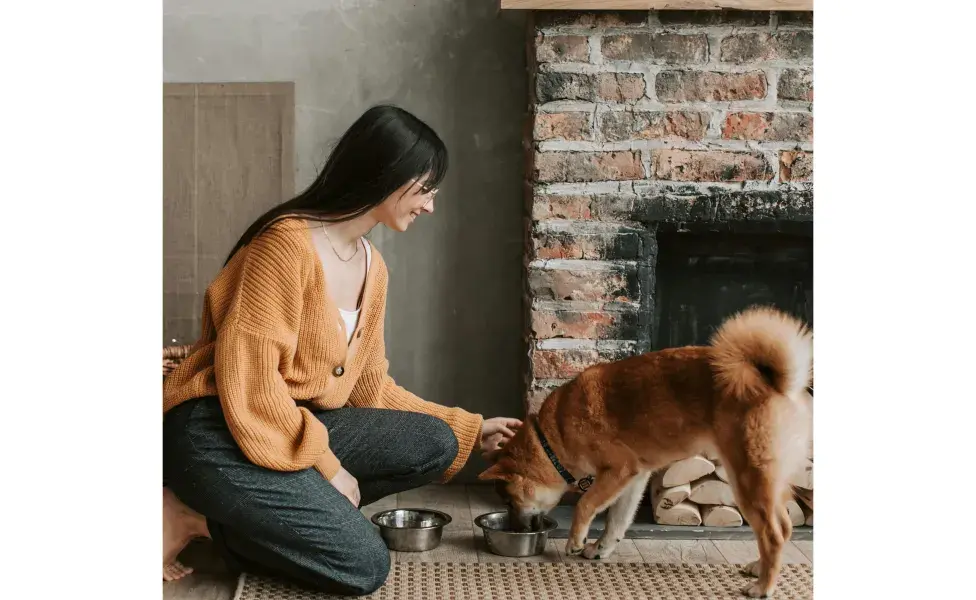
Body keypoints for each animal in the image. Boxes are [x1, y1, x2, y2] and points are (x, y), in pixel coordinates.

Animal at [478, 308, 808, 596]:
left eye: (510, 500)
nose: (514, 527)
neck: (554, 435)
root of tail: (768, 380)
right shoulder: (634, 478)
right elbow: (616, 520)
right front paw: (601, 548)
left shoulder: (618, 471)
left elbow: (585, 504)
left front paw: (576, 540)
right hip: (762, 482)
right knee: (784, 527)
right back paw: (758, 567)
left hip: (747, 479)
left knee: (774, 534)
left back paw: (763, 587)